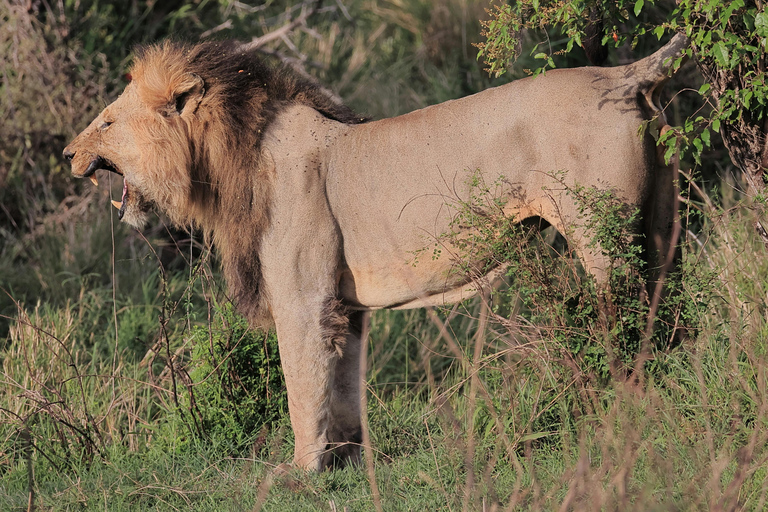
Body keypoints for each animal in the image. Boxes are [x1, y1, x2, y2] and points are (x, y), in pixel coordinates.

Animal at [64, 34, 688, 470]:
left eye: (108, 121)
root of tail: (624, 72)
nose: (68, 153)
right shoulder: (346, 306)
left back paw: (624, 400)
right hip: (663, 226)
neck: (228, 162)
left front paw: (302, 470)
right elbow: (341, 385)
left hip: (602, 236)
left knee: (626, 318)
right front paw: (347, 459)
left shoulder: (303, 298)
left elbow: (301, 381)